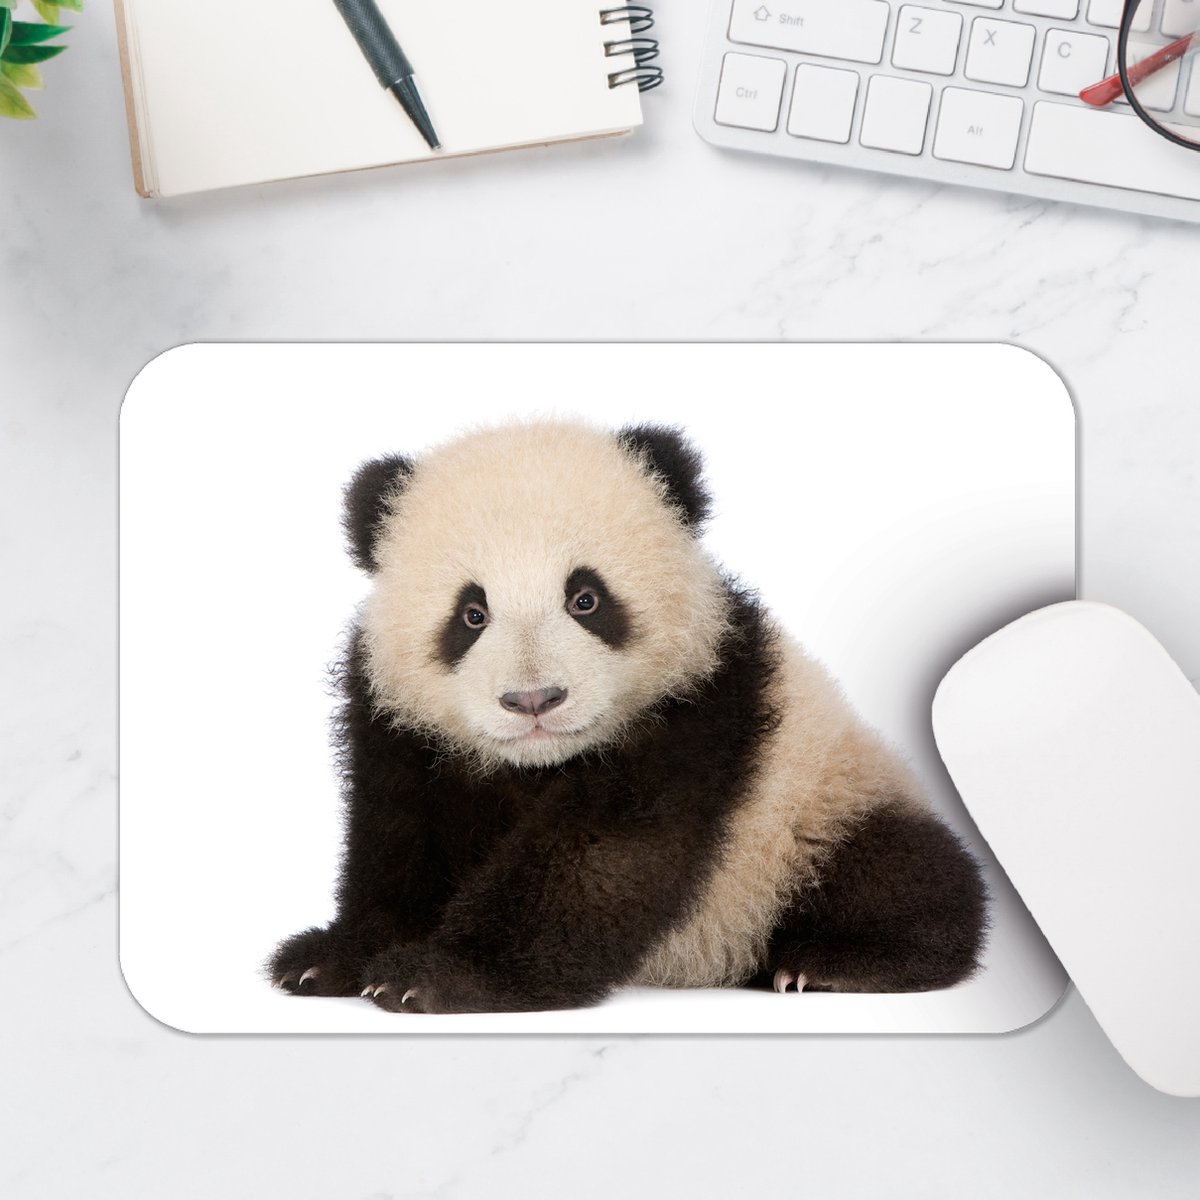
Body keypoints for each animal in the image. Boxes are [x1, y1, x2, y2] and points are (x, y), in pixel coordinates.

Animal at [268, 420, 987, 1013]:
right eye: (471, 614)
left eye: (585, 598)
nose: (535, 700)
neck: (536, 763)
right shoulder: (395, 722)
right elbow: (396, 837)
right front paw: (332, 958)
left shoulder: (699, 707)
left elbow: (601, 859)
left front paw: (440, 975)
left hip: (820, 807)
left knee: (902, 872)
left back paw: (832, 961)